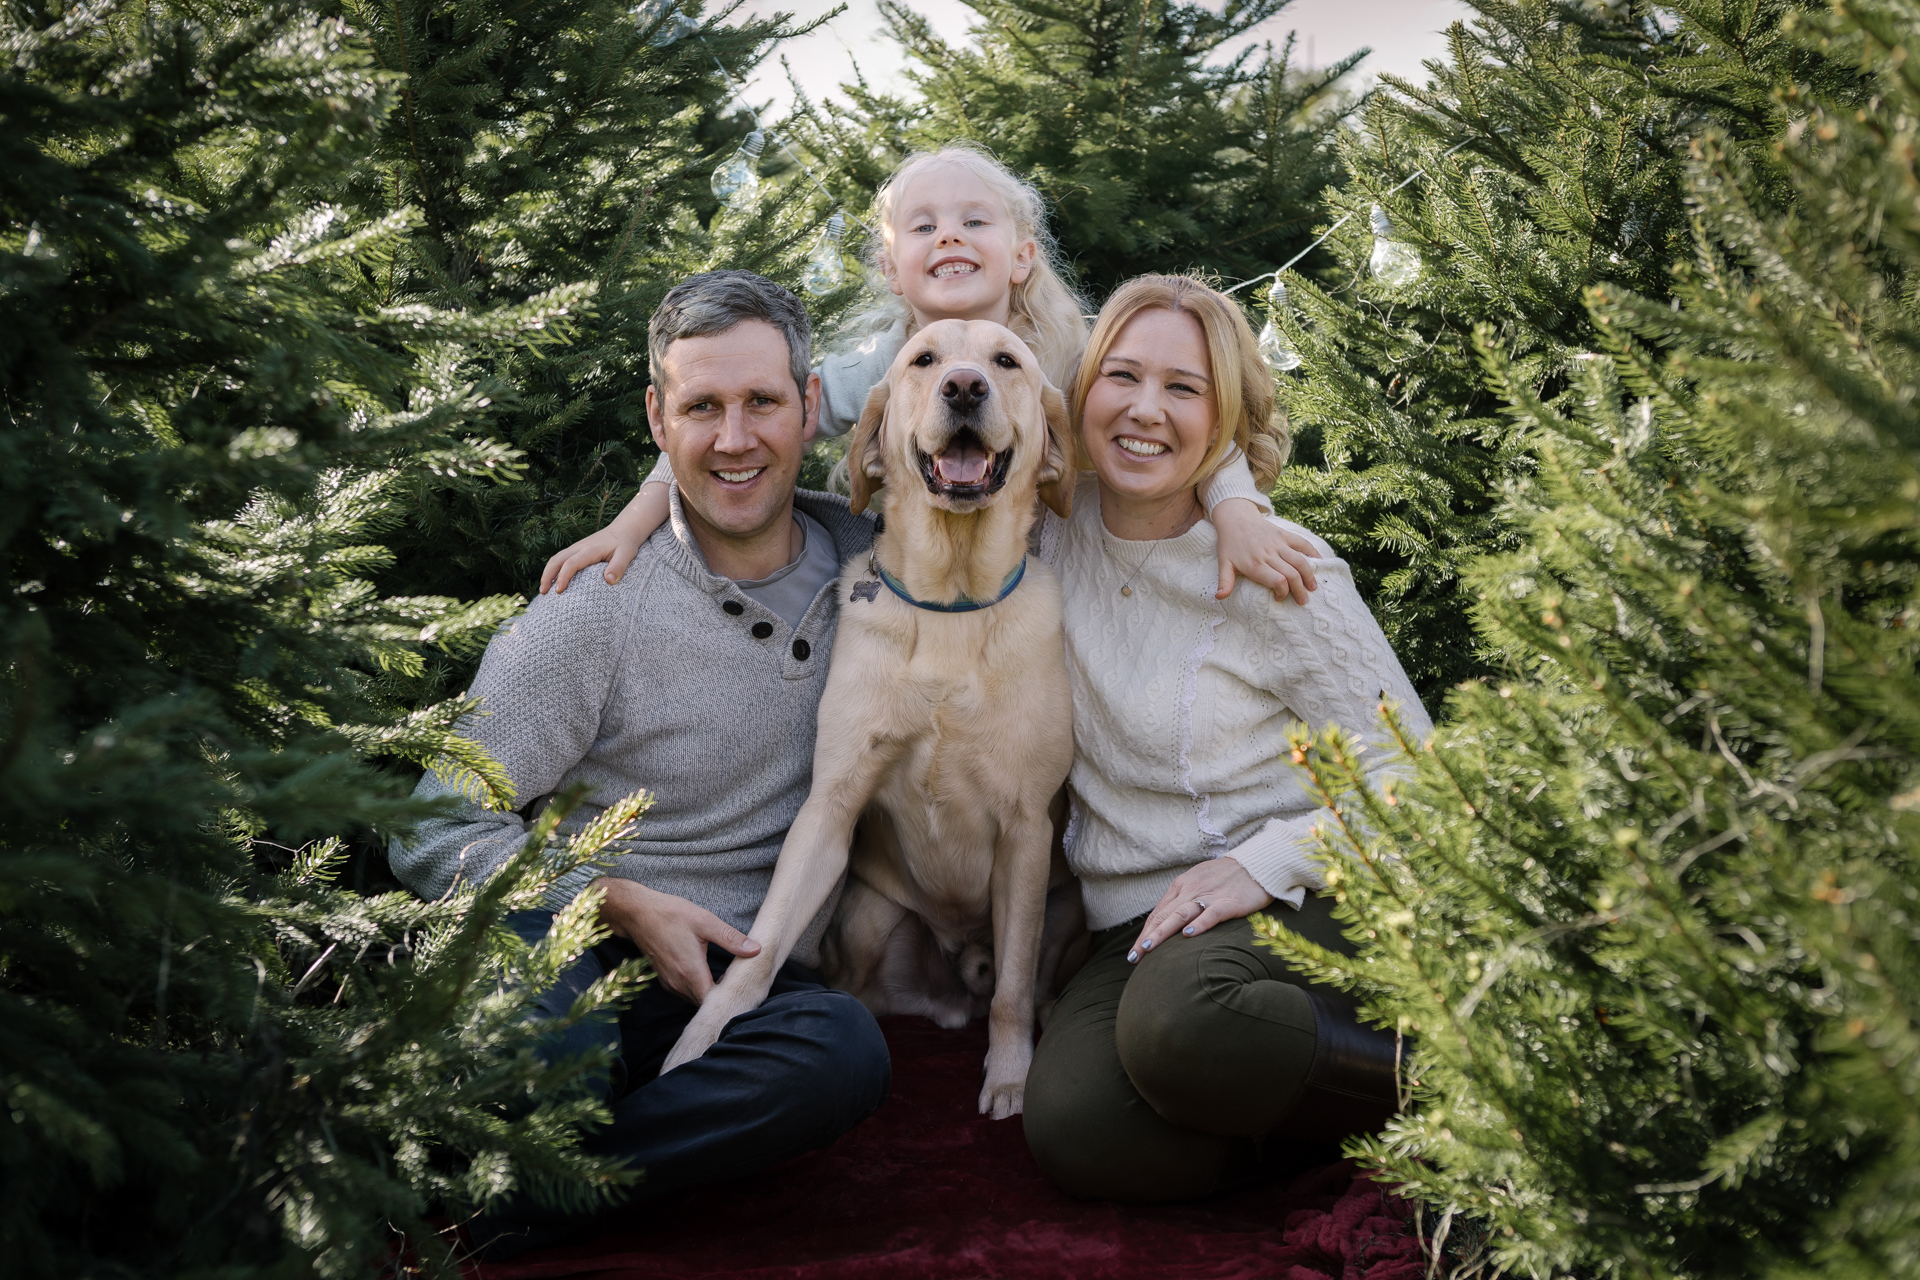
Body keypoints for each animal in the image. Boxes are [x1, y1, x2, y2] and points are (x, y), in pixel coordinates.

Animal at [668, 320, 1075, 1120]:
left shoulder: (1027, 830)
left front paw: (1011, 1074)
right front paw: (701, 1042)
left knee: (1015, 983)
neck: (952, 606)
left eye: (1005, 361)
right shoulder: (831, 805)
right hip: (868, 914)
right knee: (864, 990)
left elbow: (1012, 989)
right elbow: (758, 954)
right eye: (924, 360)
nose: (964, 387)